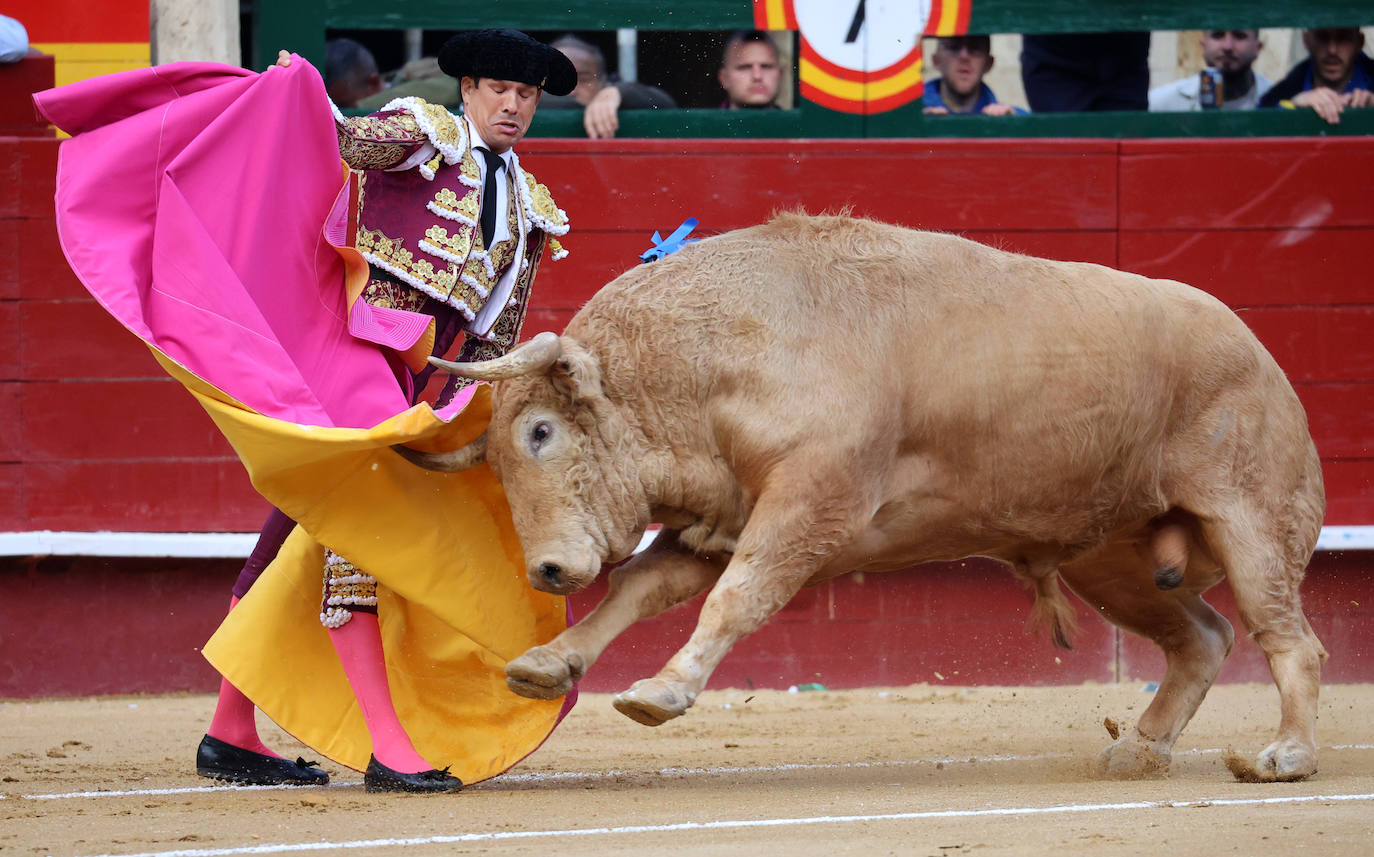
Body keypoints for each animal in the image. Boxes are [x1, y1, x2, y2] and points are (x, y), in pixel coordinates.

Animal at [392, 212, 1324, 785]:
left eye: (541, 432)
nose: (547, 570)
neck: (716, 357)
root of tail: (1259, 352)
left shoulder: (811, 505)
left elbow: (738, 599)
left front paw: (662, 690)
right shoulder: (722, 520)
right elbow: (639, 588)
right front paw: (550, 663)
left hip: (1248, 519)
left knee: (1291, 639)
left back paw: (1284, 753)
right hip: (1112, 559)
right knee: (1203, 636)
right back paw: (1140, 748)